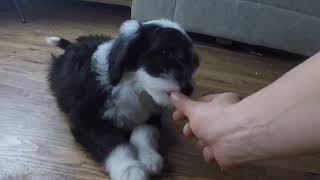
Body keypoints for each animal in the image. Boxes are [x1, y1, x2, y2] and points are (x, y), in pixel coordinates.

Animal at [46, 19, 199, 179]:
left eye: (192, 62)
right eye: (165, 53)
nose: (189, 90)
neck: (136, 89)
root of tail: (72, 45)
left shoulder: (153, 115)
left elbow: (144, 131)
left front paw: (149, 157)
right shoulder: (87, 118)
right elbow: (111, 141)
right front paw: (130, 169)